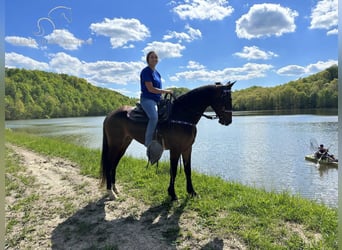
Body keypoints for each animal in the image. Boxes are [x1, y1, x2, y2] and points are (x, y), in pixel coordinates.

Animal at [100, 81, 234, 201]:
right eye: (225, 98)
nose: (228, 121)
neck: (182, 115)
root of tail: (110, 115)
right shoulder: (175, 150)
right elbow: (173, 171)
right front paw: (173, 194)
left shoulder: (187, 148)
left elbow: (188, 170)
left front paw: (192, 192)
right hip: (115, 145)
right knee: (109, 164)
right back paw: (111, 192)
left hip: (123, 144)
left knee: (114, 164)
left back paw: (115, 189)